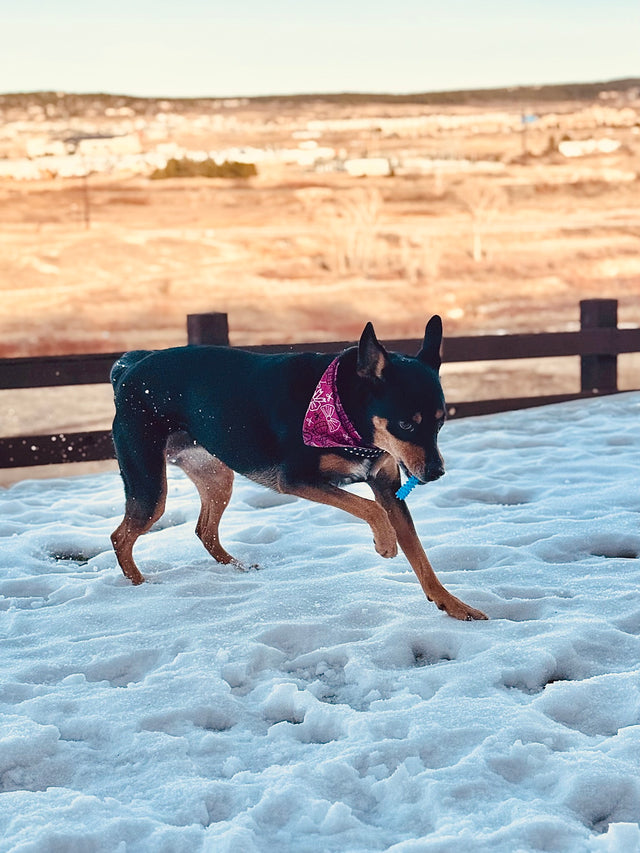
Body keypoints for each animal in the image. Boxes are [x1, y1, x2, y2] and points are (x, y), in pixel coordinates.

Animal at [110, 314, 488, 620]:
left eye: (440, 422)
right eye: (406, 425)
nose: (435, 473)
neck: (346, 410)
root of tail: (129, 367)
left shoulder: (387, 486)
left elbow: (420, 554)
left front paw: (452, 604)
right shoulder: (295, 479)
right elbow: (369, 509)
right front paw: (385, 542)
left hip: (216, 475)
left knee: (204, 530)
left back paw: (238, 568)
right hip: (151, 486)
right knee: (120, 537)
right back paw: (140, 584)